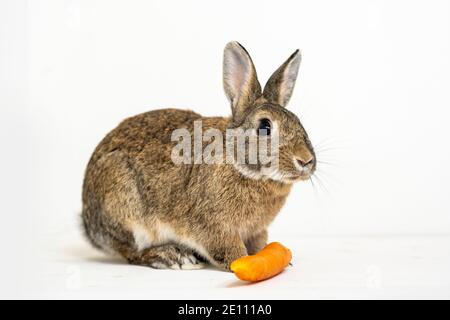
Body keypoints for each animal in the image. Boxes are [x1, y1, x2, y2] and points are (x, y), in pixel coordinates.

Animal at [83, 40, 316, 270]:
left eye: (298, 121)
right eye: (265, 126)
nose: (306, 160)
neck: (239, 164)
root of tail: (89, 225)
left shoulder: (256, 231)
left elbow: (260, 244)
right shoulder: (215, 227)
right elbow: (229, 250)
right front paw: (242, 261)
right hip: (125, 206)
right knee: (132, 252)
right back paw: (173, 256)